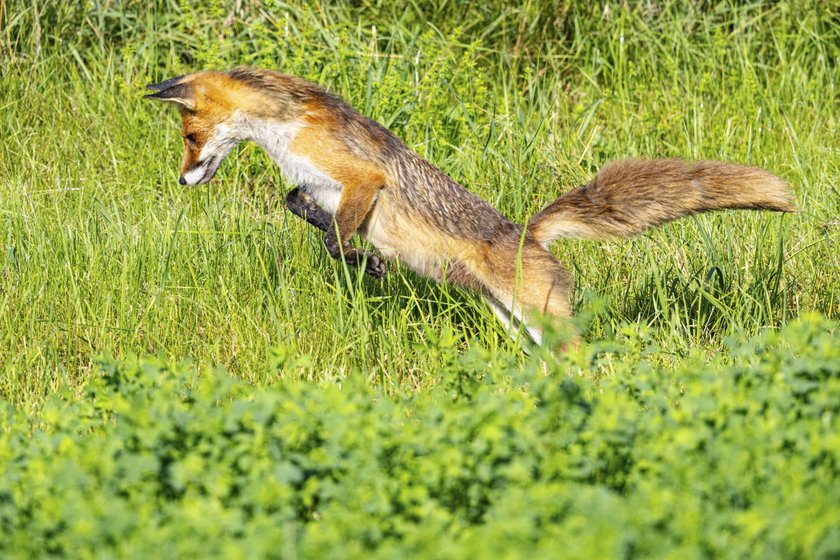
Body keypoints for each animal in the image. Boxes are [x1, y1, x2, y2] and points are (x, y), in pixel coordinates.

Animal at [145, 66, 796, 348]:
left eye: (189, 135)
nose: (182, 178)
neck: (283, 128)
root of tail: (530, 231)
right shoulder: (316, 185)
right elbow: (300, 207)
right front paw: (361, 256)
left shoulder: (362, 177)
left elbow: (336, 238)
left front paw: (365, 262)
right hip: (517, 321)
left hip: (542, 319)